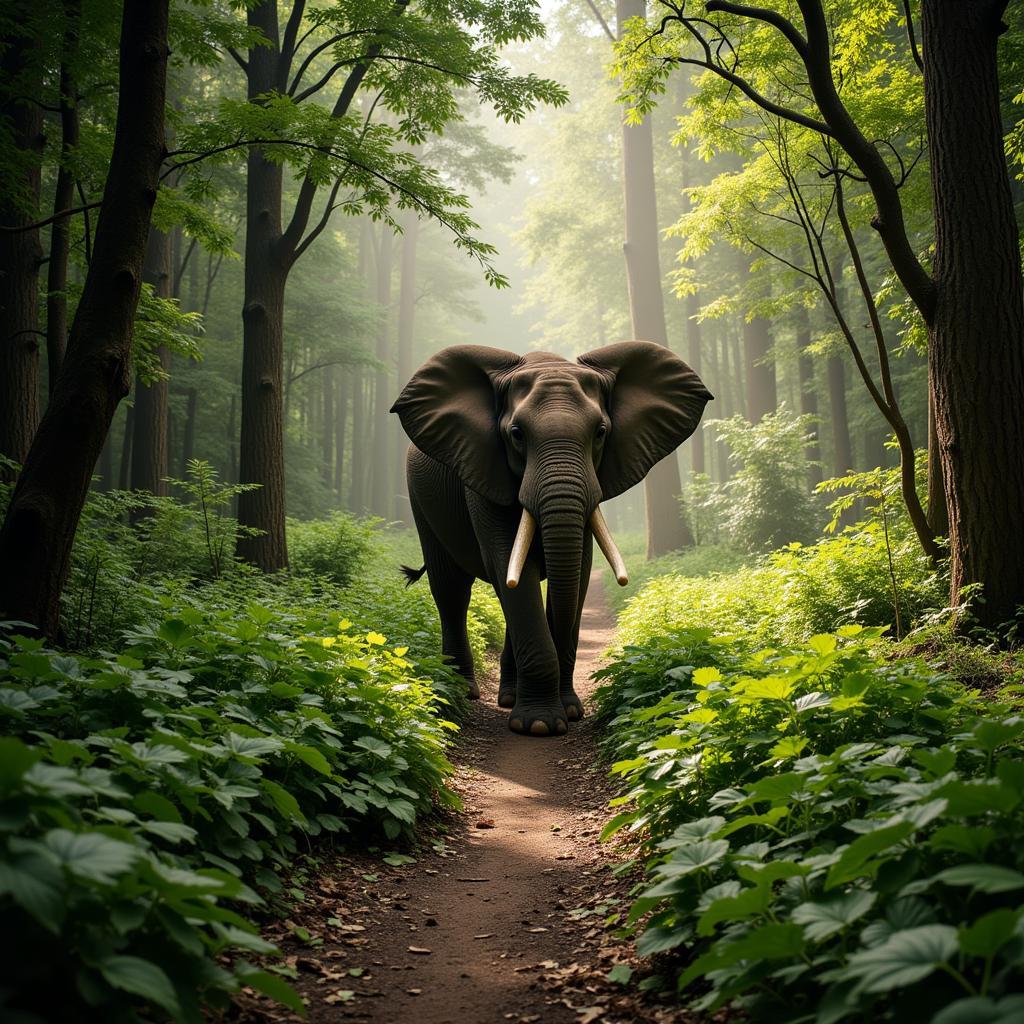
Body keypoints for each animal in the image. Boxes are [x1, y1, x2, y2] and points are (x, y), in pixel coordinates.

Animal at [391, 342, 712, 737]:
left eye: (600, 432)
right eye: (516, 434)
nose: (568, 708)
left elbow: (579, 571)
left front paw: (568, 712)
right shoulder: (483, 474)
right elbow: (509, 565)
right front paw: (540, 725)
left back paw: (508, 697)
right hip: (421, 500)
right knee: (452, 588)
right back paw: (462, 692)